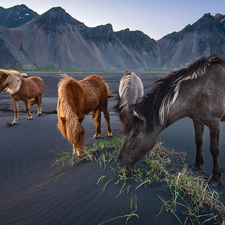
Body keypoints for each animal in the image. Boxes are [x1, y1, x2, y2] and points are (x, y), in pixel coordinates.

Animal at [117, 54, 225, 185]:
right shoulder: (197, 120)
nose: (119, 161)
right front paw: (197, 165)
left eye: (134, 134)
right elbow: (198, 141)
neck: (201, 91)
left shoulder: (215, 122)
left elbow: (214, 149)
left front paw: (215, 177)